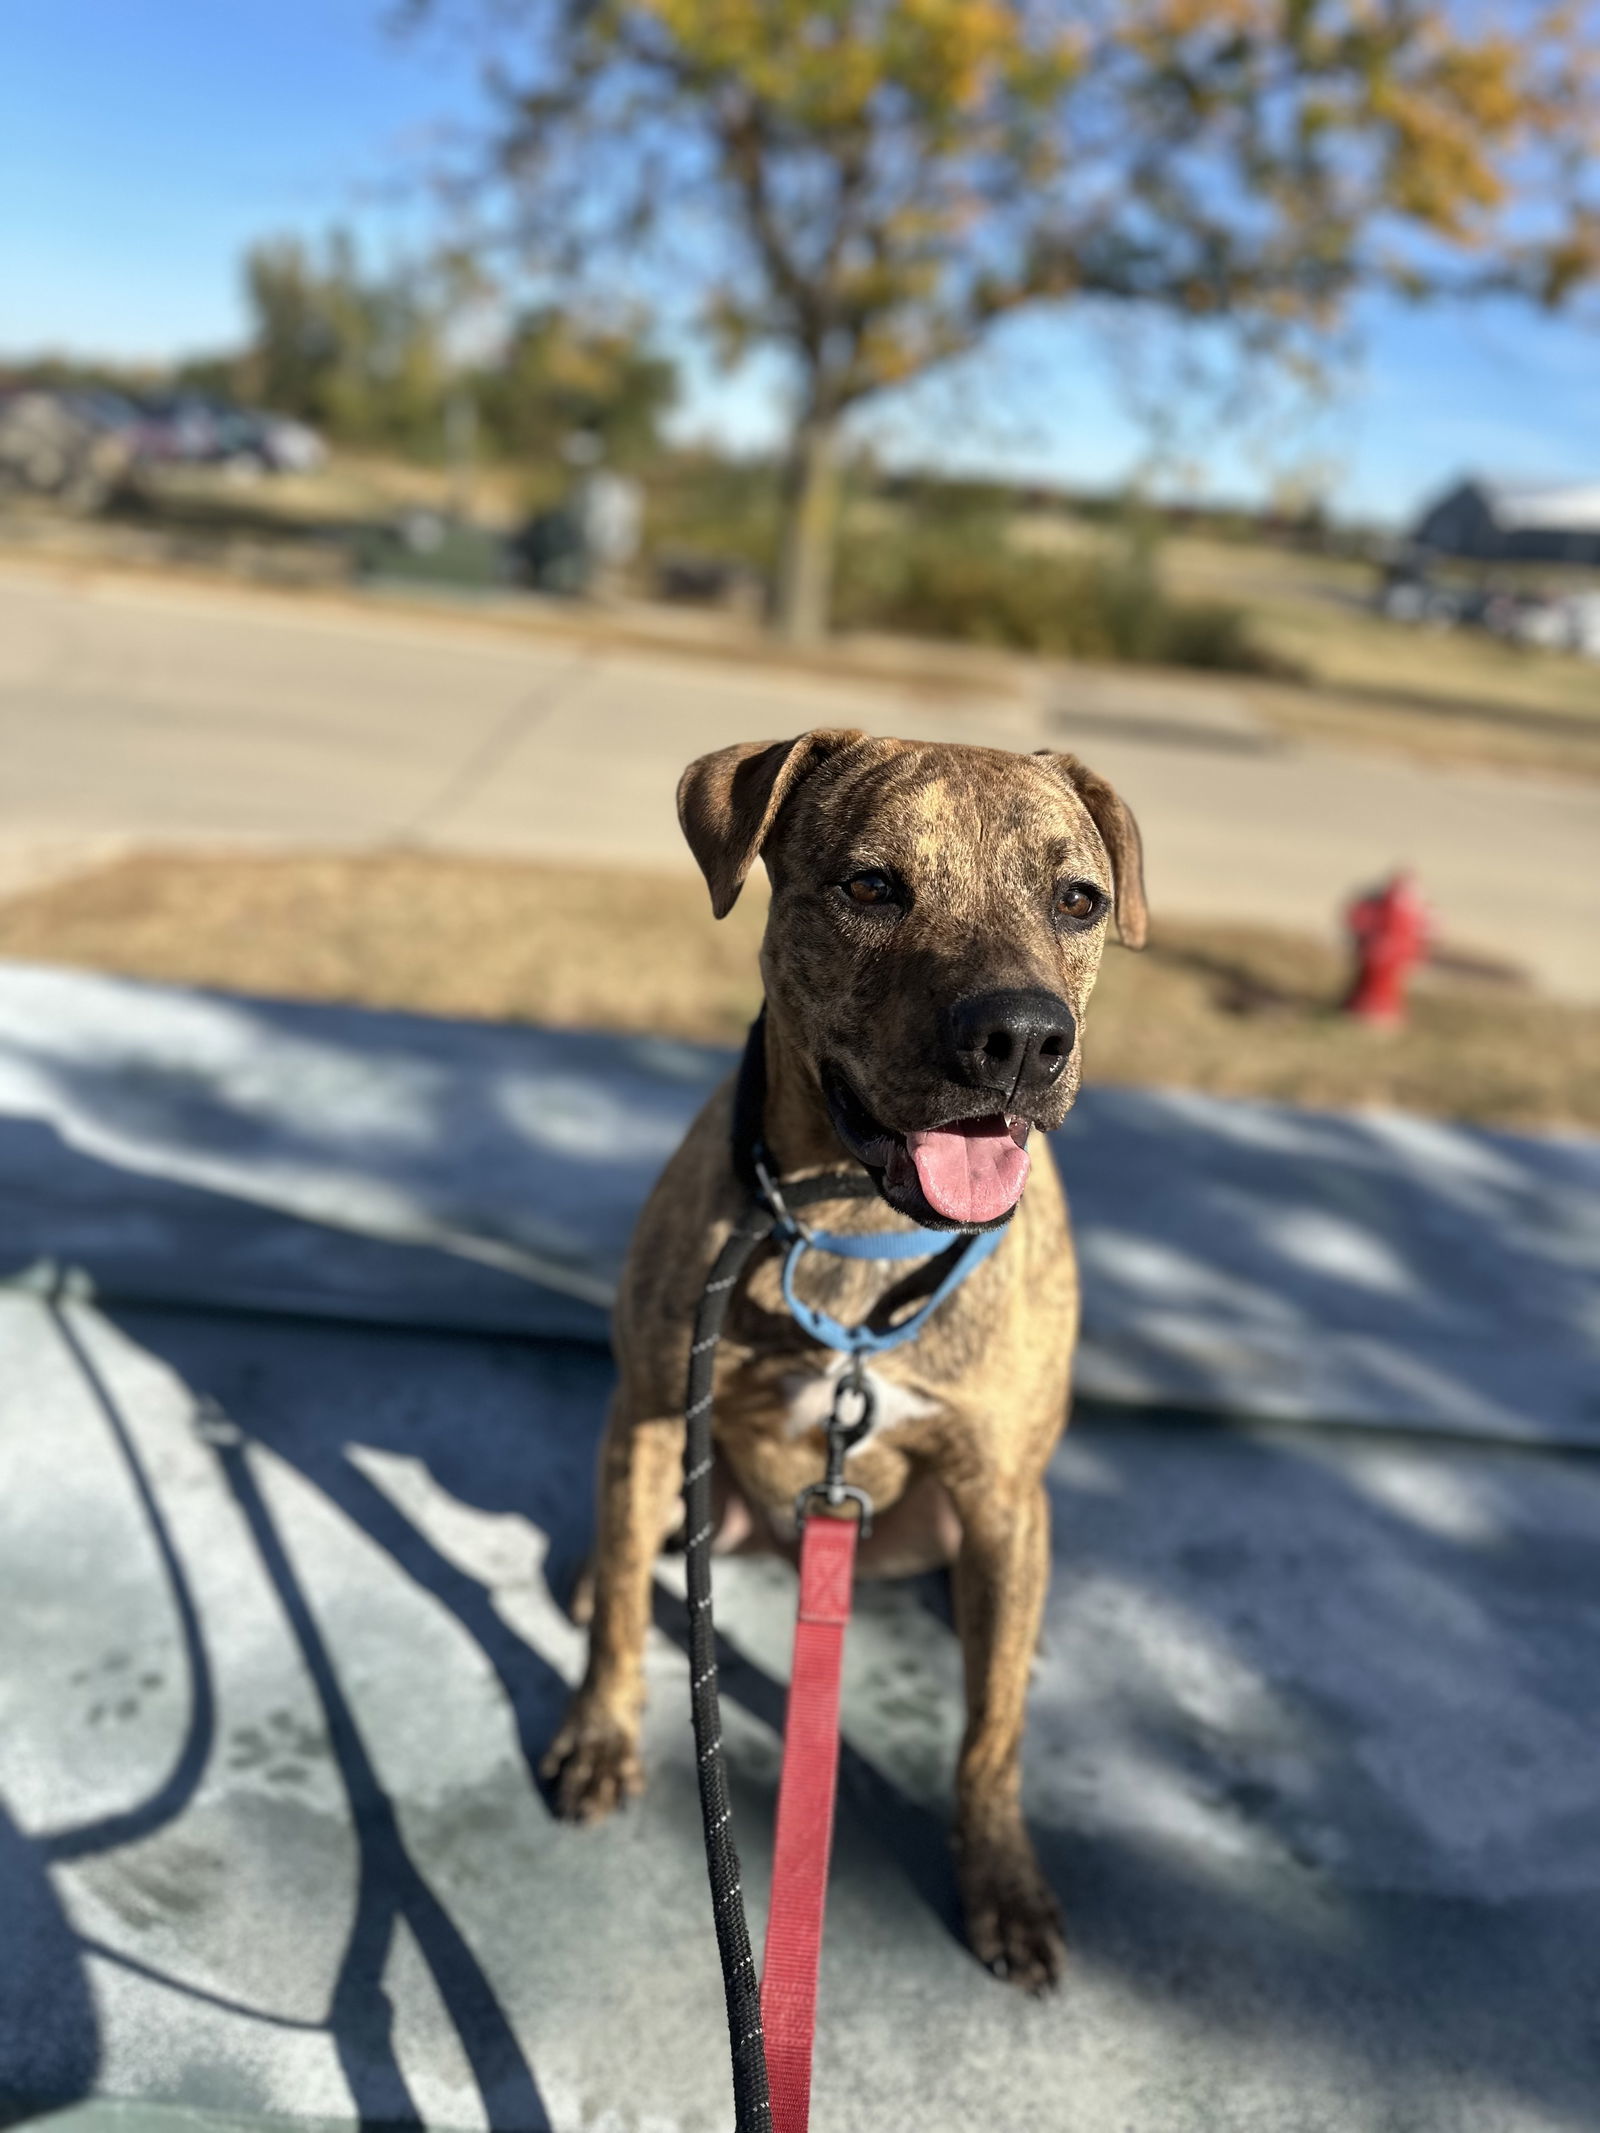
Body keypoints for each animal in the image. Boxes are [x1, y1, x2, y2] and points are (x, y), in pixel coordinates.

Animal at [546, 733, 1143, 1996]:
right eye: (871, 886)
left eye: (1078, 900)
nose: (1022, 1038)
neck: (855, 1224)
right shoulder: (653, 1410)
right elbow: (623, 1614)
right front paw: (599, 1735)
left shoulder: (1001, 1489)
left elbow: (989, 1738)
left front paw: (1000, 1879)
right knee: (625, 1556)